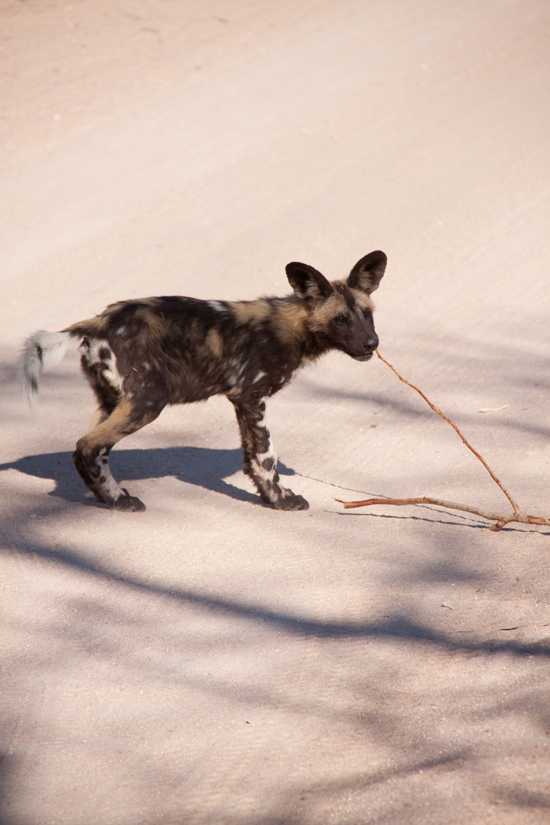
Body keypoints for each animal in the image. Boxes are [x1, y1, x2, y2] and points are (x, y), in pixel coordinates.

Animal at [19, 248, 386, 512]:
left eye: (367, 315)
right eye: (340, 320)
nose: (372, 344)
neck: (292, 327)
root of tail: (97, 322)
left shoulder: (241, 401)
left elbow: (251, 458)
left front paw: (269, 499)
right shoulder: (252, 397)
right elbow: (266, 455)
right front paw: (282, 500)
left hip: (114, 401)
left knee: (94, 451)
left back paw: (112, 497)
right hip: (147, 403)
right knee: (87, 446)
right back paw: (120, 502)